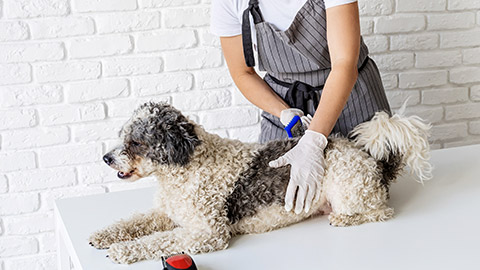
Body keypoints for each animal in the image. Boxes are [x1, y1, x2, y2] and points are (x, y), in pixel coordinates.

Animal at [89, 102, 432, 264]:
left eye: (135, 142)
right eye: (122, 135)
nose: (105, 158)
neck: (186, 168)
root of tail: (375, 163)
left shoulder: (207, 233)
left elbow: (158, 241)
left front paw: (122, 251)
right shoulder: (165, 213)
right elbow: (133, 222)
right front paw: (103, 235)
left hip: (350, 191)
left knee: (380, 212)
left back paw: (344, 219)